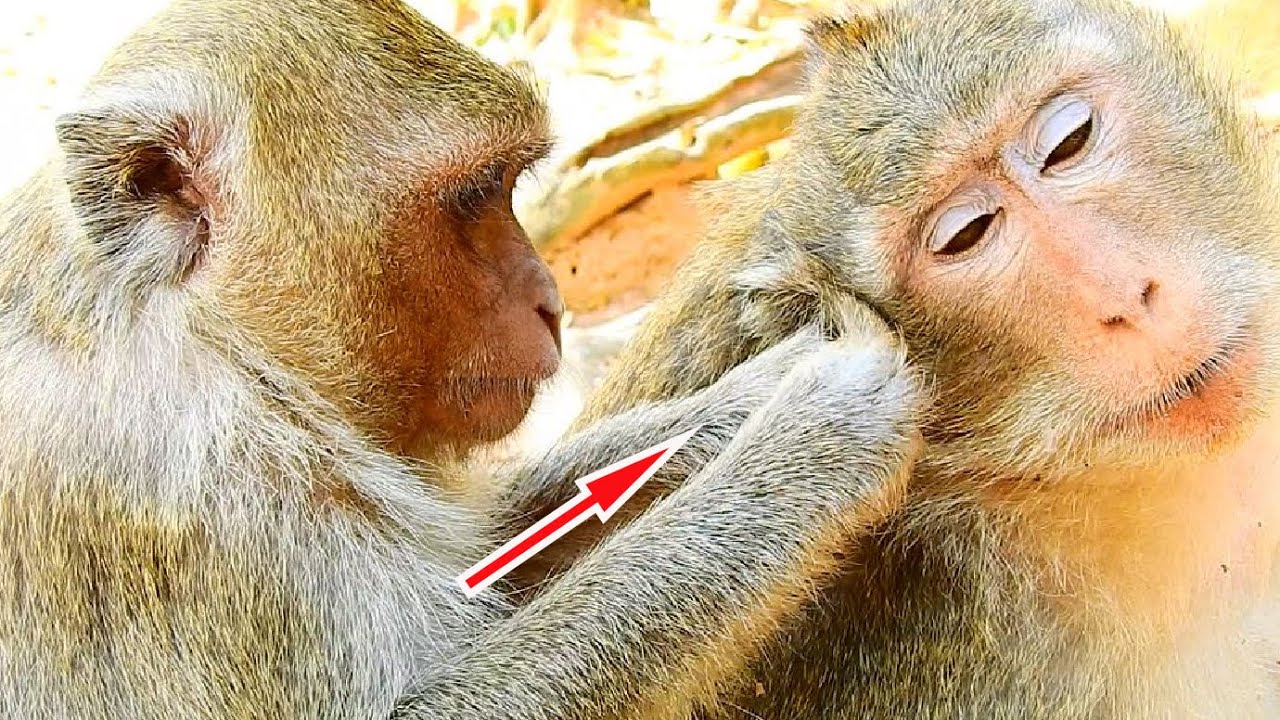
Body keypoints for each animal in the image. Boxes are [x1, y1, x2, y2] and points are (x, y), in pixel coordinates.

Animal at [0, 1, 928, 718]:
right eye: (475, 194)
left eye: (506, 184)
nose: (551, 300)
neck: (217, 344)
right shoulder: (181, 505)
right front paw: (810, 438)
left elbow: (494, 543)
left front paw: (749, 398)